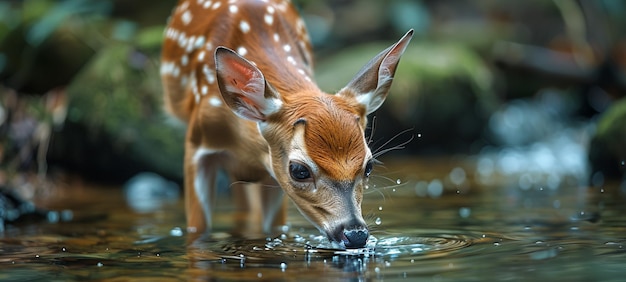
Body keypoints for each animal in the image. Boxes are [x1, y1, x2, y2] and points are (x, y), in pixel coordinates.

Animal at [160, 0, 410, 248]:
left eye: (369, 166)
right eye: (299, 170)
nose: (356, 235)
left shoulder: (272, 173)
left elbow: (274, 230)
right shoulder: (197, 143)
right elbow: (197, 229)